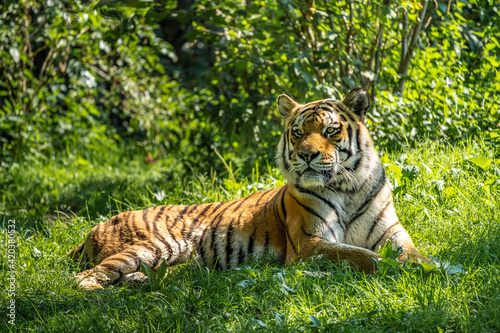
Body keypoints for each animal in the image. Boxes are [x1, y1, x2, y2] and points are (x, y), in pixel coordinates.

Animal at [68, 87, 432, 288]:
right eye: (298, 132)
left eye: (330, 131)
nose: (307, 155)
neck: (347, 187)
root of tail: (97, 226)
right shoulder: (310, 244)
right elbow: (363, 256)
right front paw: (403, 270)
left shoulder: (391, 232)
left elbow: (408, 251)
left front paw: (427, 263)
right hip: (157, 244)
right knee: (84, 279)